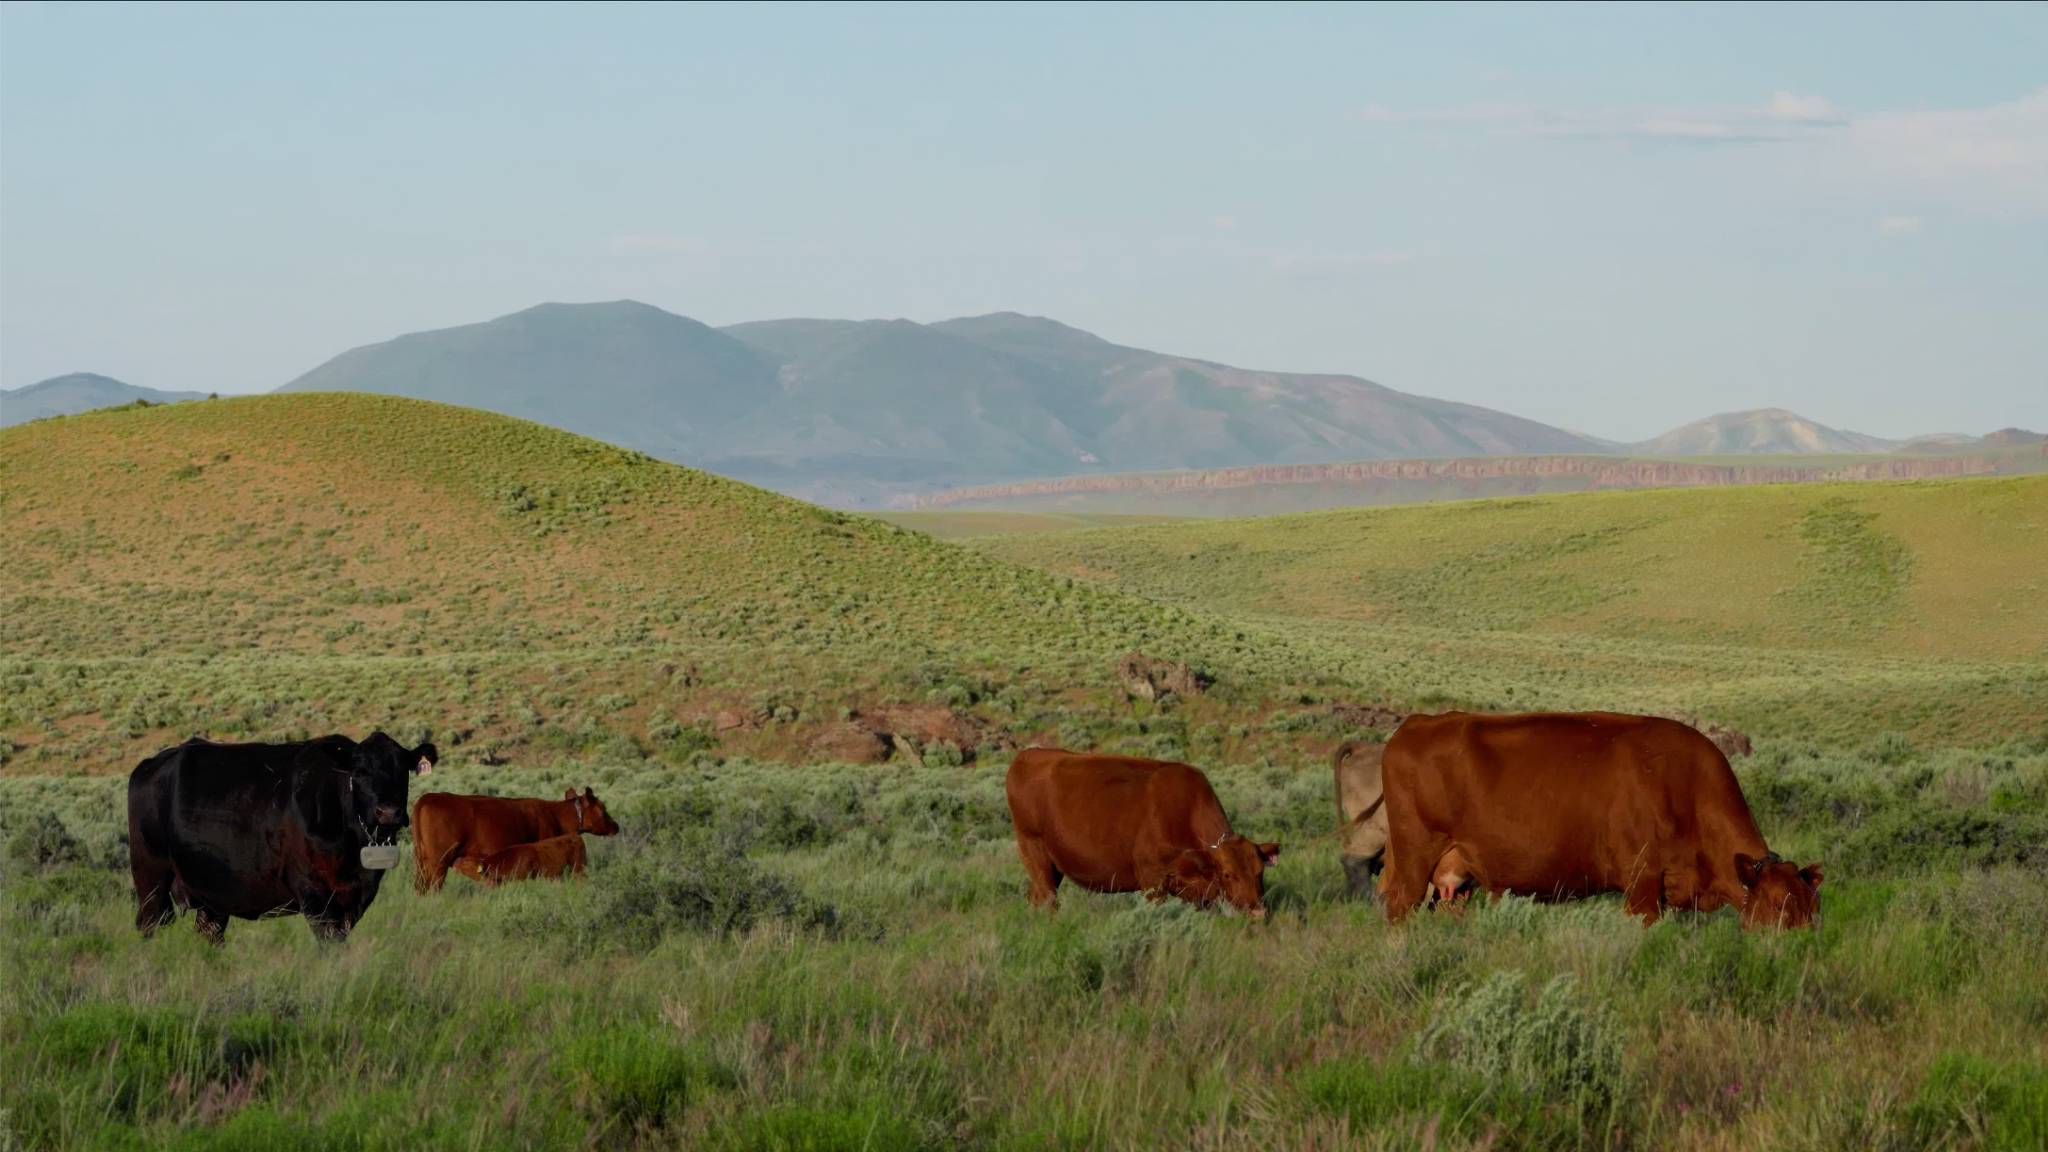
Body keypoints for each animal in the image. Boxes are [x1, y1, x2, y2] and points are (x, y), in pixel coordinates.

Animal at [127, 732, 437, 943]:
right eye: (360, 772)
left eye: (403, 769)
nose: (389, 812)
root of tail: (153, 763)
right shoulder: (314, 892)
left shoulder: (356, 896)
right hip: (150, 876)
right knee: (149, 923)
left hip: (210, 891)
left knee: (209, 931)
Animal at [1004, 747, 1281, 918]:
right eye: (1227, 874)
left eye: (1260, 871)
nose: (1258, 913)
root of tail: (1028, 755)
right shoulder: (1152, 881)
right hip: (1035, 852)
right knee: (1049, 900)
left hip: (1052, 867)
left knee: (1035, 898)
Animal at [1379, 711, 1822, 929]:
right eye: (1776, 906)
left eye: (1813, 912)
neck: (1686, 788)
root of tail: (1417, 723)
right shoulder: (1642, 887)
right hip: (1415, 859)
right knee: (1399, 909)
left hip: (1456, 876)